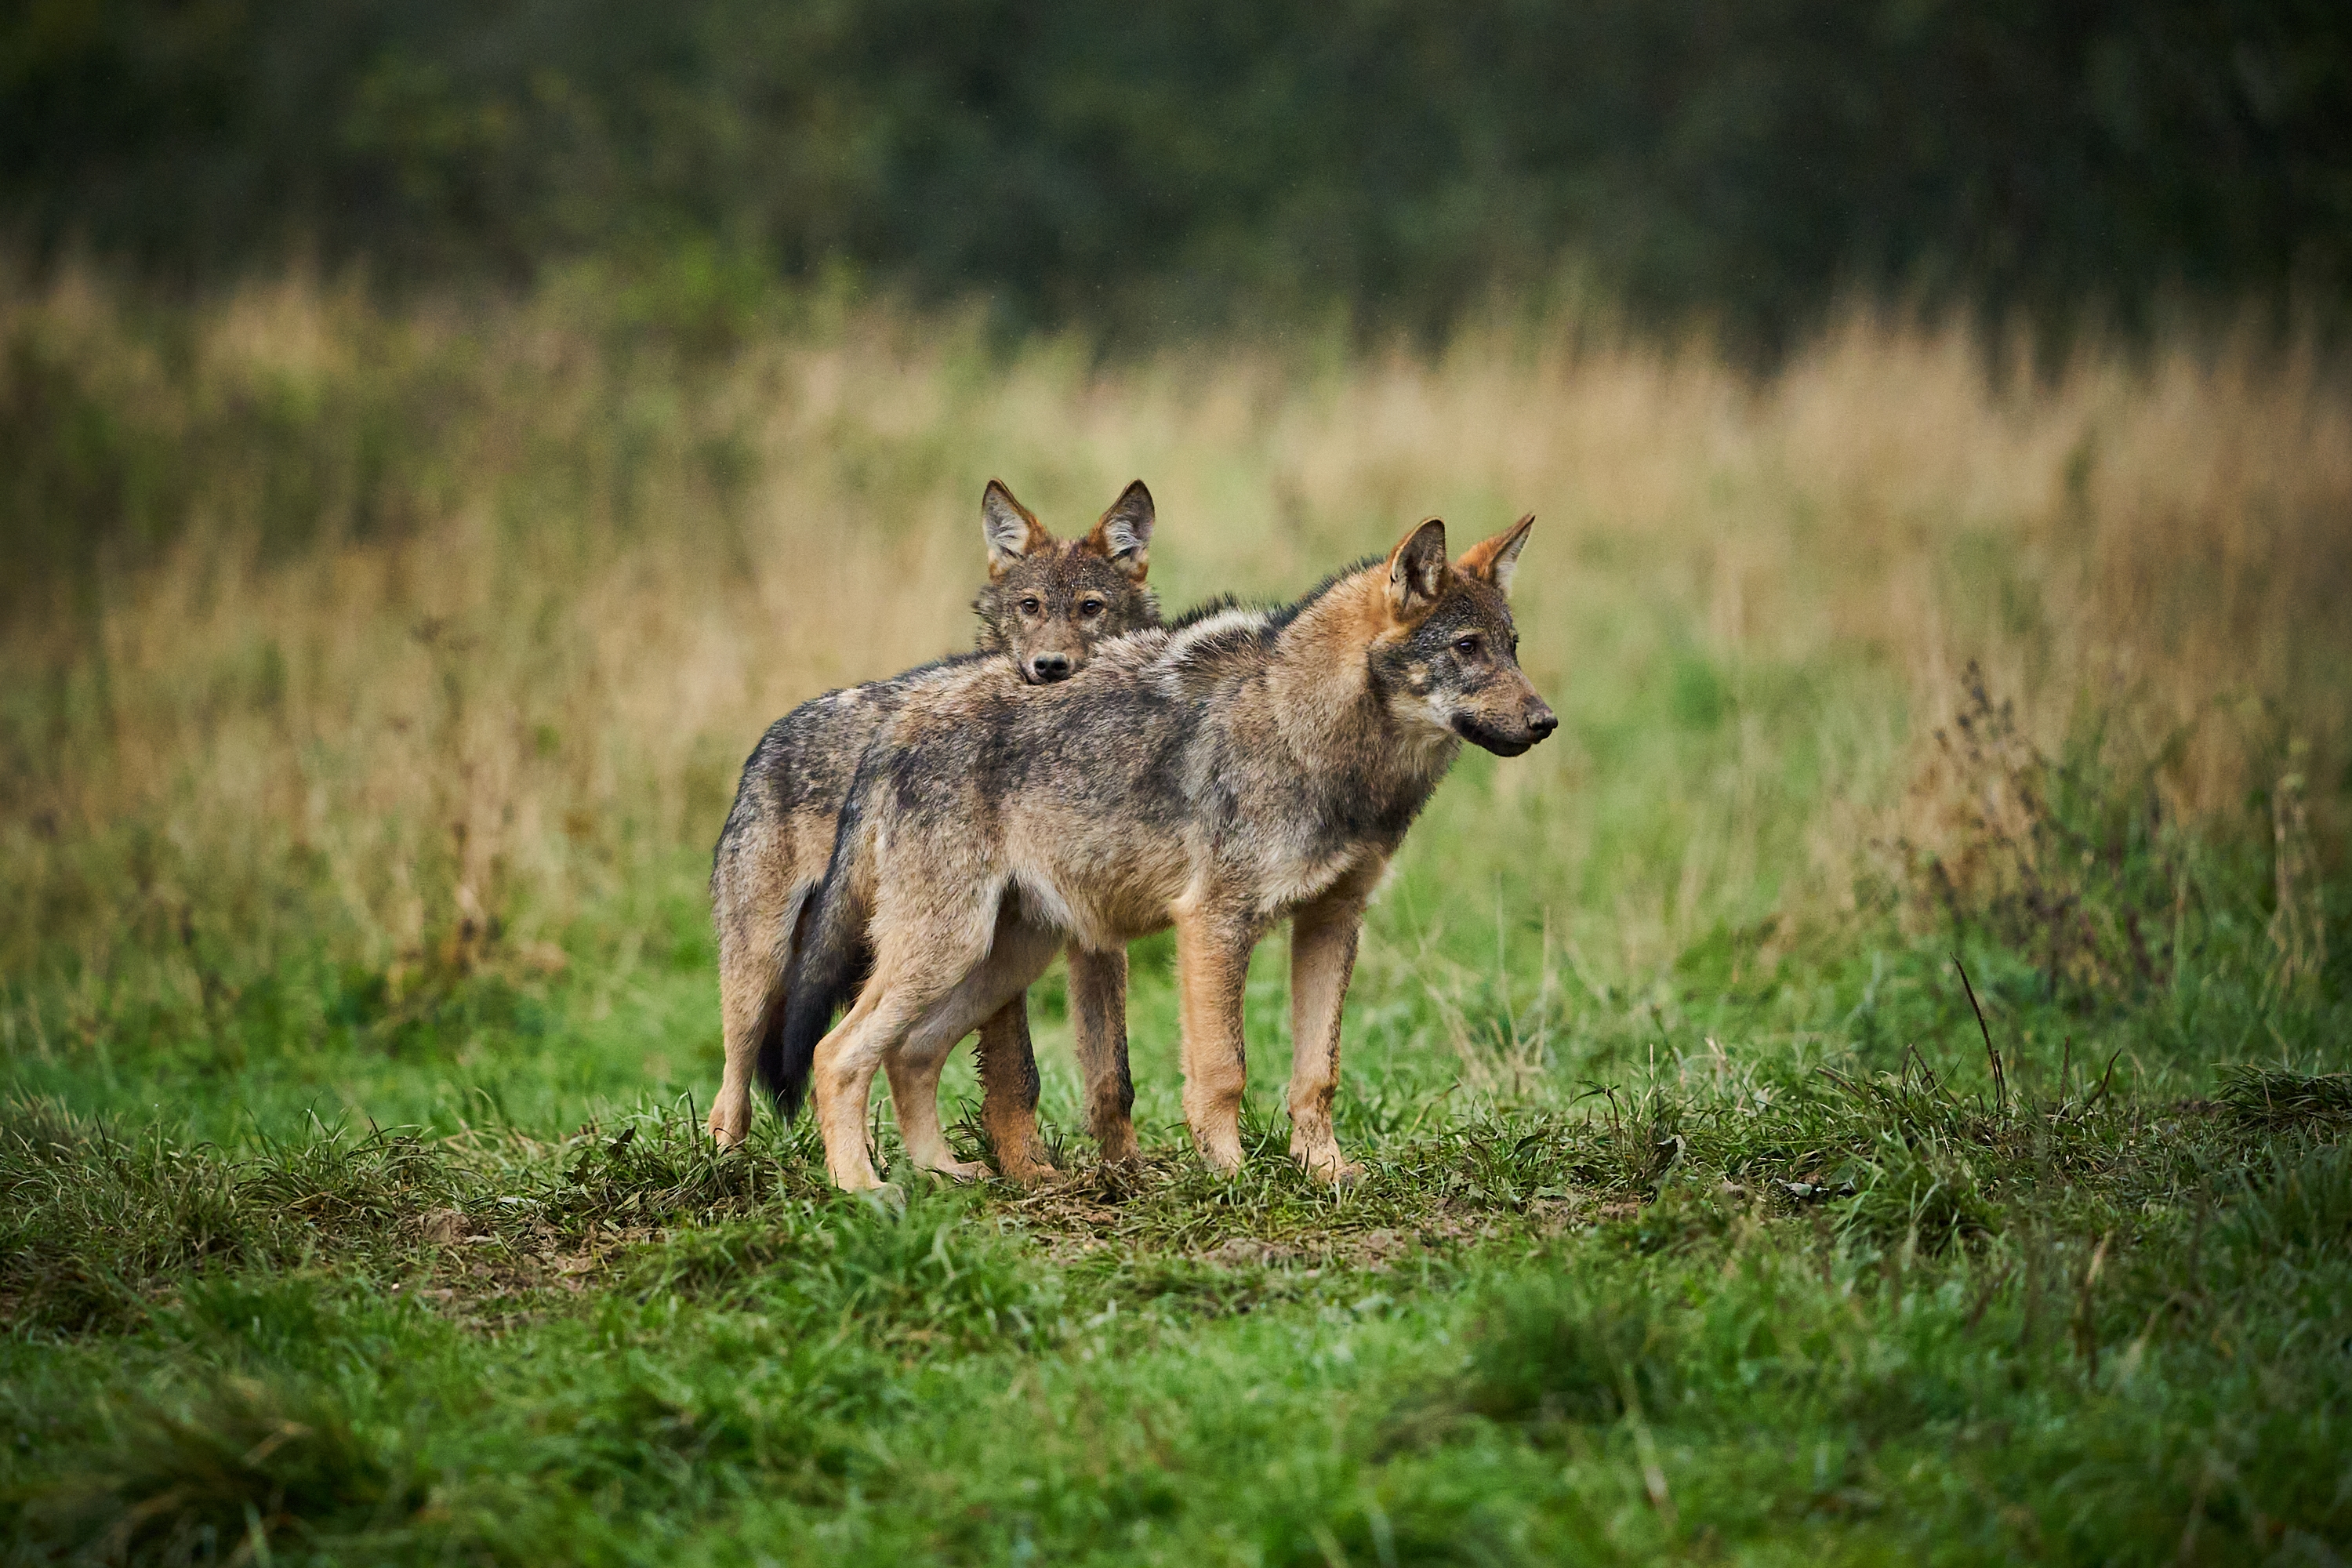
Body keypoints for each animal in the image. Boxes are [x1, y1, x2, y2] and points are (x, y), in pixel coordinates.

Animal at [710, 479, 1162, 1175]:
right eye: (1030, 607)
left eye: (1091, 608)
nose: (1050, 666)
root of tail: (774, 734)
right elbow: (1018, 1074)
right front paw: (1029, 1171)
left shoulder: (1096, 939)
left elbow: (1113, 1074)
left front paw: (1126, 1171)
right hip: (763, 971)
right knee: (734, 1087)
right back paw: (731, 1167)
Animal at [771, 514, 1562, 1189]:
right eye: (1466, 648)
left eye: (1513, 647)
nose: (1546, 722)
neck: (1313, 738)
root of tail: (893, 728)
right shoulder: (1215, 923)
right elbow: (1223, 1071)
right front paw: (1232, 1177)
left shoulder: (1333, 921)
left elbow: (1318, 1074)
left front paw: (1326, 1173)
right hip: (947, 950)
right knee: (834, 1054)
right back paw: (862, 1188)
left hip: (999, 959)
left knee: (911, 1053)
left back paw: (943, 1175)